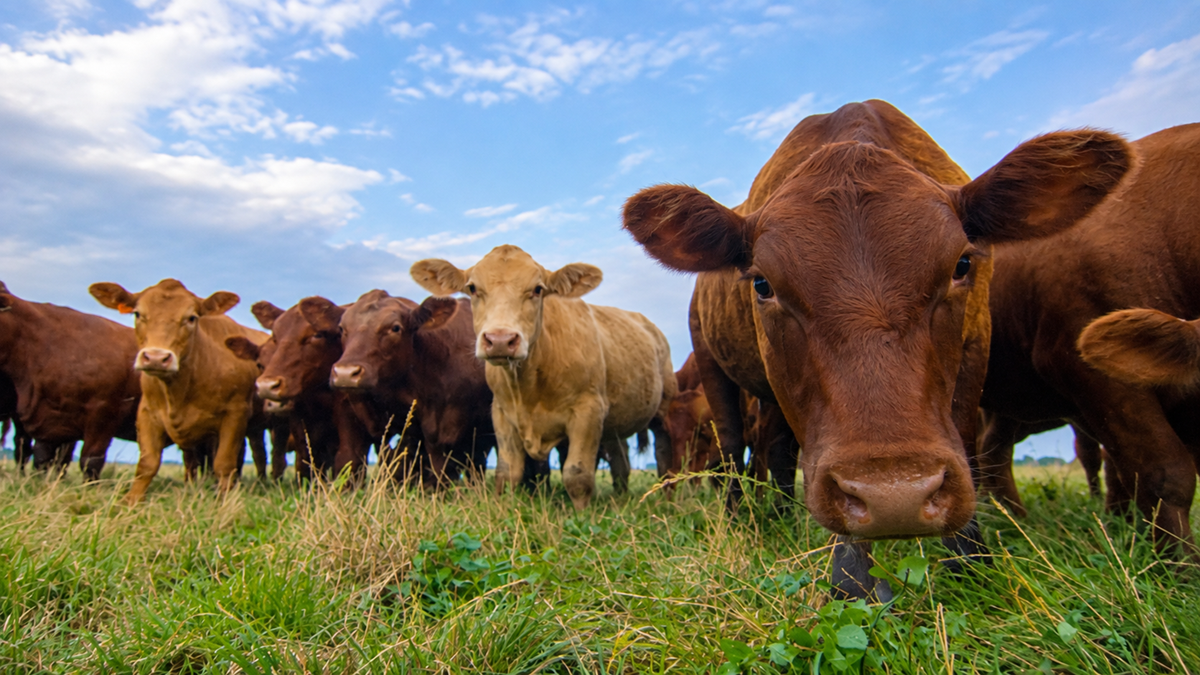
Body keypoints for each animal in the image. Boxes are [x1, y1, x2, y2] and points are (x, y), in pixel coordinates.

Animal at [90, 279, 268, 503]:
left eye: (191, 317)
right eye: (138, 314)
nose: (156, 358)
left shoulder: (236, 413)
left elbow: (224, 464)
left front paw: (224, 501)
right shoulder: (147, 412)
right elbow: (147, 463)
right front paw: (131, 501)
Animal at [411, 245, 677, 509]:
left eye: (538, 289)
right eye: (473, 288)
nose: (500, 340)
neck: (529, 385)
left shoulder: (588, 410)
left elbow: (577, 474)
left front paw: (583, 514)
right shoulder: (501, 413)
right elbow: (507, 472)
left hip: (665, 405)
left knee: (664, 451)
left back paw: (669, 497)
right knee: (621, 460)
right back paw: (621, 495)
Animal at [622, 99, 1131, 598]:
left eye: (962, 264)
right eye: (762, 284)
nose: (894, 497)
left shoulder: (977, 342)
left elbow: (965, 438)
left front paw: (968, 561)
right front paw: (852, 577)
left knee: (775, 444)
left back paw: (783, 513)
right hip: (714, 365)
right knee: (734, 444)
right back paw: (741, 518)